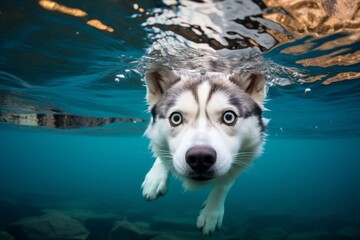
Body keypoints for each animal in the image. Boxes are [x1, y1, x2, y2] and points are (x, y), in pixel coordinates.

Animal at [141, 63, 268, 234]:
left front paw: (212, 212)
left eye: (229, 117)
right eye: (176, 118)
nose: (200, 158)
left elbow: (224, 183)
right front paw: (156, 176)